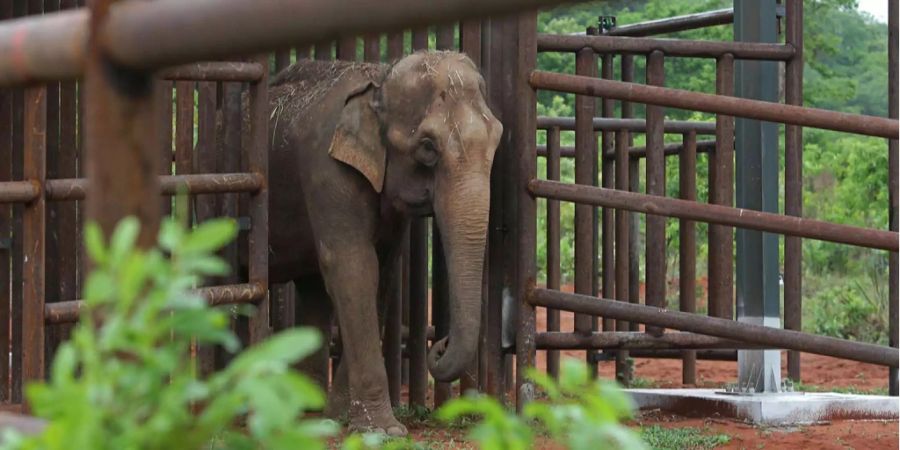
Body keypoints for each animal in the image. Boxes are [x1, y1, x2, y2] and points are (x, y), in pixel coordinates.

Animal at [260, 50, 502, 436]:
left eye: (497, 140)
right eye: (428, 147)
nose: (441, 343)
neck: (378, 83)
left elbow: (382, 271)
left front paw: (342, 418)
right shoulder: (326, 168)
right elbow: (354, 266)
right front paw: (384, 431)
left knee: (312, 288)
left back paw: (307, 413)